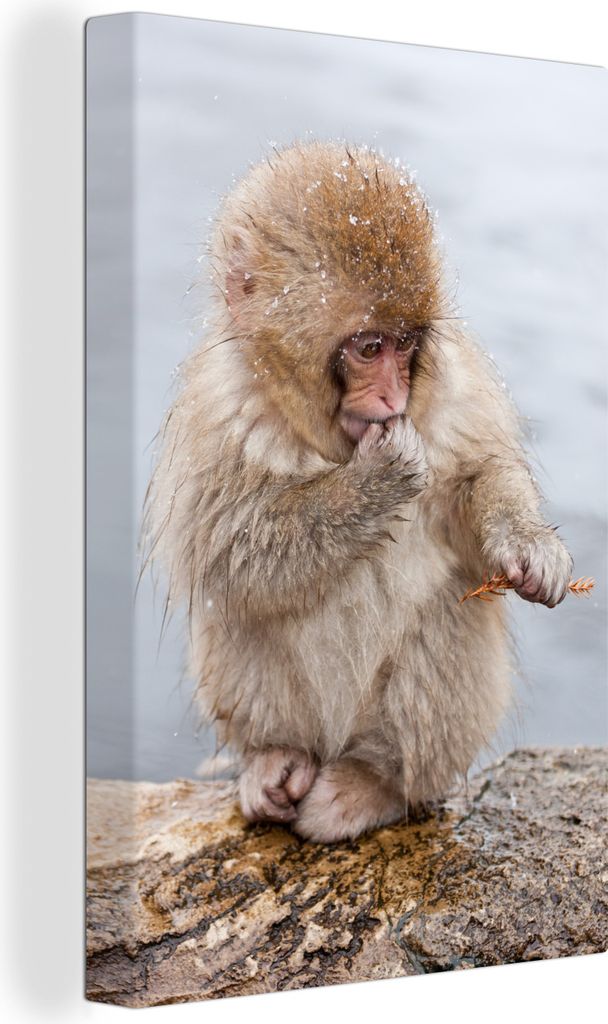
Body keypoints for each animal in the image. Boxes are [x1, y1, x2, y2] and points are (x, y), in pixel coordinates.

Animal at [143, 141, 573, 844]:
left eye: (406, 344)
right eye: (369, 347)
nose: (395, 396)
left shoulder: (456, 389)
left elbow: (478, 480)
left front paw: (529, 546)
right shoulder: (218, 410)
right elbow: (227, 548)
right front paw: (376, 481)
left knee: (442, 617)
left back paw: (375, 784)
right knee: (243, 617)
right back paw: (274, 760)